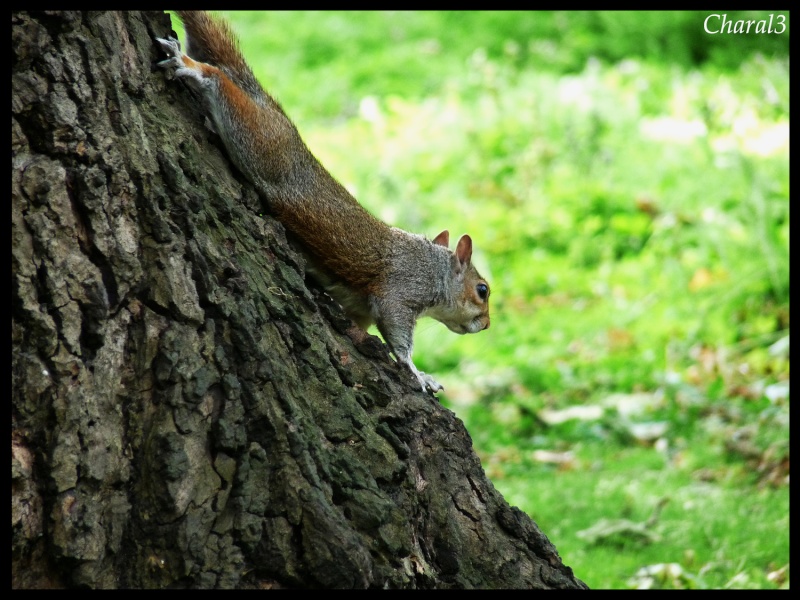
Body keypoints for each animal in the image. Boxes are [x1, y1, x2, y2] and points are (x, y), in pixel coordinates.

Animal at [155, 11, 488, 394]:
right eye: (483, 290)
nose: (486, 324)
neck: (433, 267)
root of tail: (270, 108)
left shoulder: (361, 309)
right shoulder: (401, 288)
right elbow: (397, 333)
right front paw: (418, 373)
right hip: (260, 141)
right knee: (220, 83)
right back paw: (193, 68)